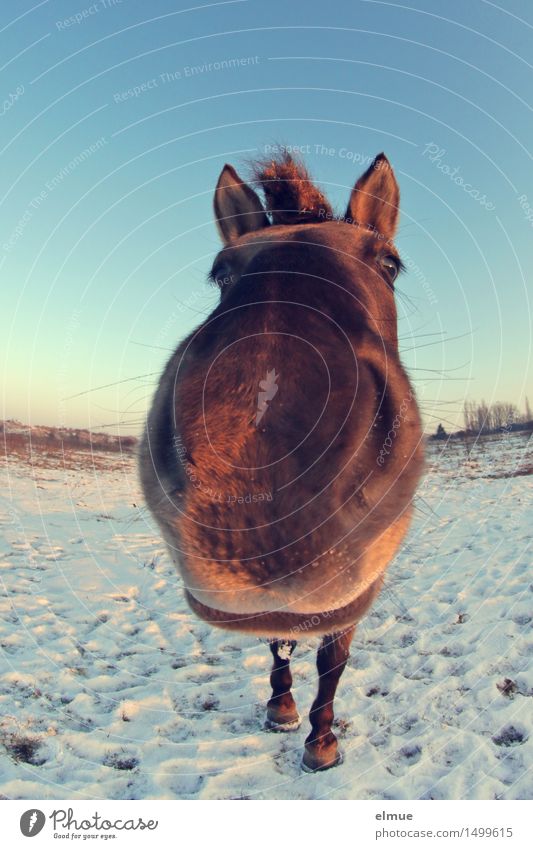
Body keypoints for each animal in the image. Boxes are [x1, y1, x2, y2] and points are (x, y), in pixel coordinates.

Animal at [140, 149, 424, 772]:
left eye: (390, 265)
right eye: (222, 272)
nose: (254, 474)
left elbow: (332, 660)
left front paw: (321, 742)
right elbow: (279, 641)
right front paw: (282, 708)